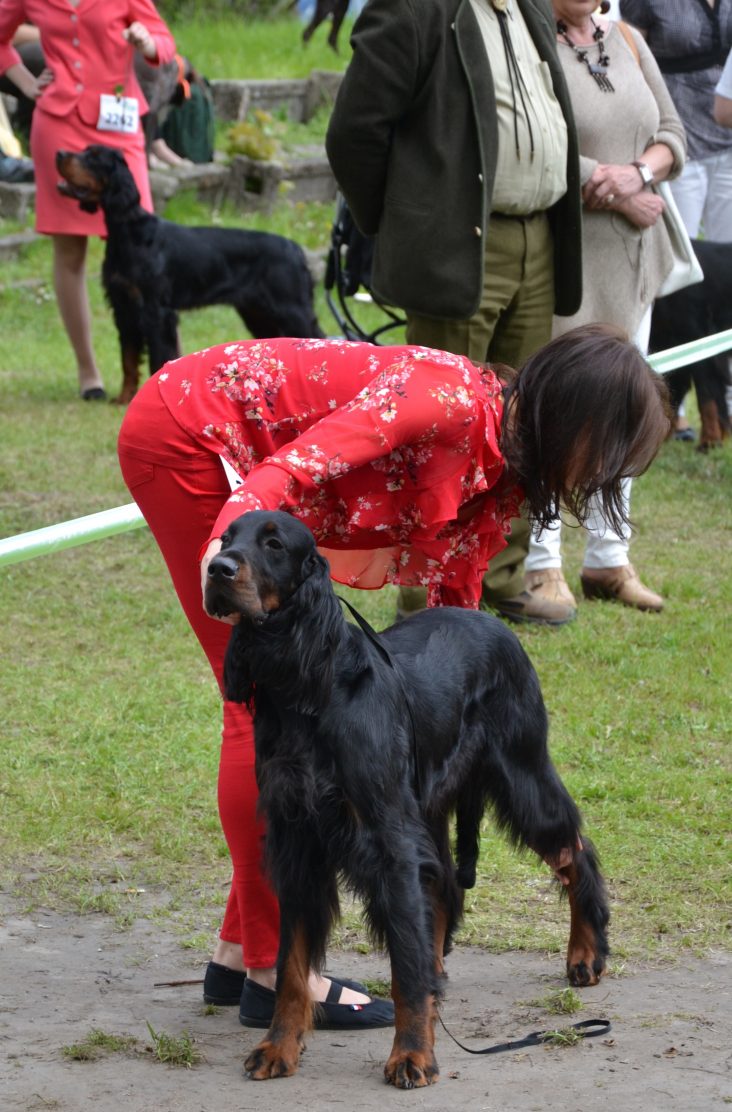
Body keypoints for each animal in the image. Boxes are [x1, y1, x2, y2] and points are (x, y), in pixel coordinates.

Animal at [55, 144, 320, 404]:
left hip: (291, 311)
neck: (130, 233)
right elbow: (128, 358)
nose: (59, 153)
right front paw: (124, 398)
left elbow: (158, 356)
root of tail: (296, 249)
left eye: (94, 157)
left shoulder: (157, 312)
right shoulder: (124, 307)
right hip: (258, 314)